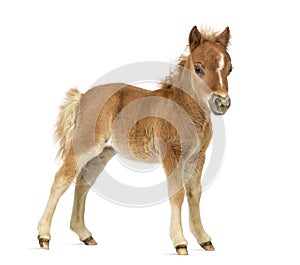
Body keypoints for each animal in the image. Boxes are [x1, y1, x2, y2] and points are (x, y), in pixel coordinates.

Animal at [37, 25, 232, 254]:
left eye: (230, 69)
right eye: (199, 69)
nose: (222, 103)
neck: (184, 109)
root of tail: (83, 96)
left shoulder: (197, 156)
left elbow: (194, 193)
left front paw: (204, 239)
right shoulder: (171, 154)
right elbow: (177, 194)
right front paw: (180, 242)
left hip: (104, 152)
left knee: (83, 182)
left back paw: (85, 235)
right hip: (84, 144)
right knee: (62, 178)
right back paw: (44, 236)